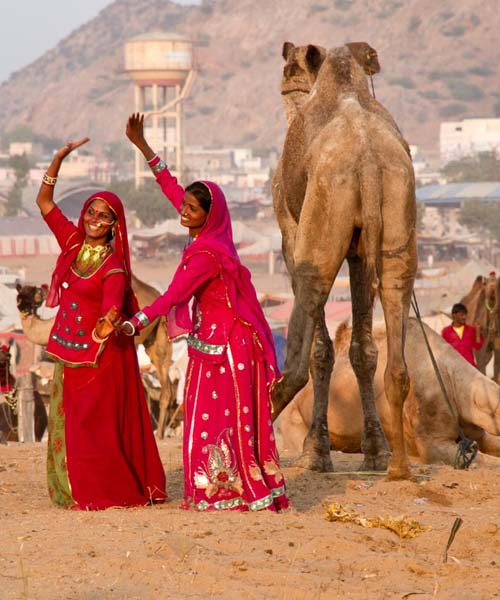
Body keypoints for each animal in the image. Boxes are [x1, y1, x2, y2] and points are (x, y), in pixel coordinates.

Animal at [16, 274, 176, 438]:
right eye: (19, 297)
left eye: (32, 292)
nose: (40, 292)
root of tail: (155, 294)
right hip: (153, 340)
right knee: (167, 387)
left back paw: (158, 434)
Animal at [272, 44, 416, 480]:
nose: (287, 76)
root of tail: (366, 160)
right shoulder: (360, 249)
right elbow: (362, 348)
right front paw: (374, 450)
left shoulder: (290, 232)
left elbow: (321, 347)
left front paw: (316, 452)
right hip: (397, 209)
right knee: (395, 295)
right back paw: (397, 466)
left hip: (324, 208)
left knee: (312, 288)